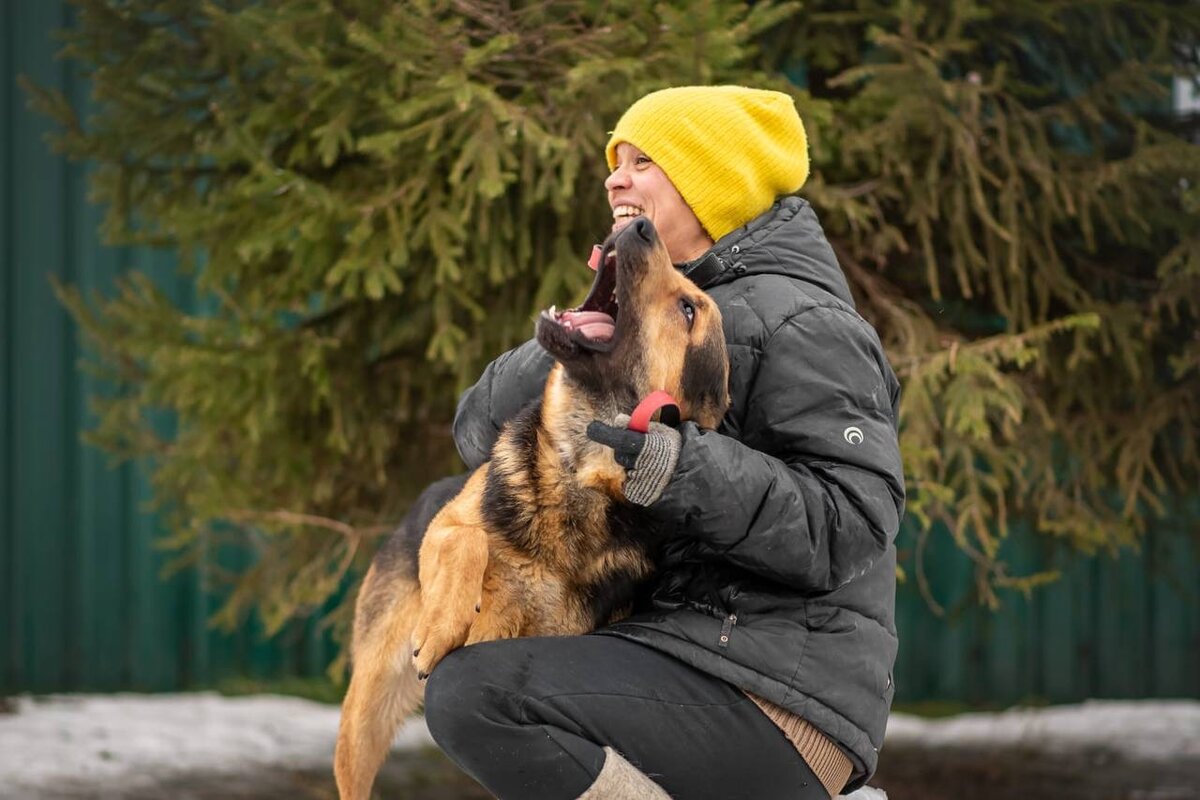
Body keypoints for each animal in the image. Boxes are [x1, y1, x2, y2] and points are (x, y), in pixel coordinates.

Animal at [336, 219, 729, 800]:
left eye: (687, 309)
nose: (640, 225)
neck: (575, 473)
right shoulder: (447, 528)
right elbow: (470, 537)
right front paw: (444, 624)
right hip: (367, 708)